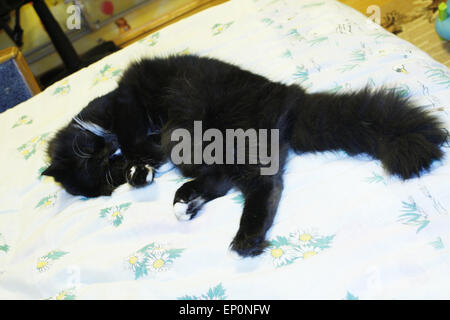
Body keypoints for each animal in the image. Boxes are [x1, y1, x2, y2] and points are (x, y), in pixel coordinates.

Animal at [42, 53, 446, 256]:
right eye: (103, 175)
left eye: (92, 159)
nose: (111, 157)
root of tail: (290, 98)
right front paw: (140, 172)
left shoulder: (126, 106)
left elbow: (137, 135)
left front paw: (141, 159)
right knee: (235, 183)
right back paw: (187, 204)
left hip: (224, 136)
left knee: (262, 184)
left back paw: (245, 238)